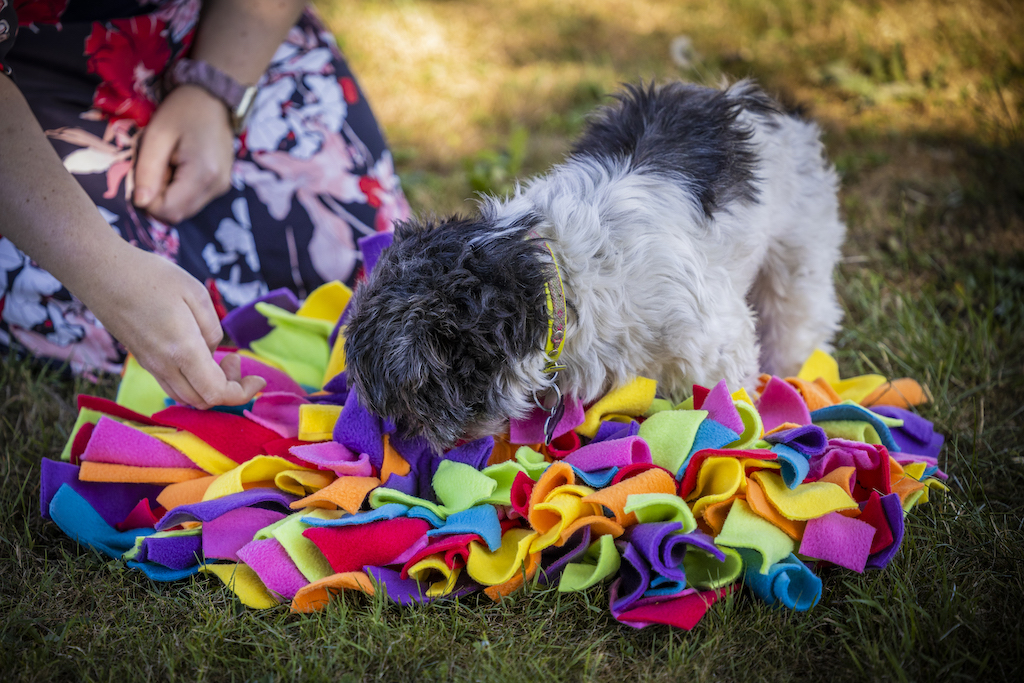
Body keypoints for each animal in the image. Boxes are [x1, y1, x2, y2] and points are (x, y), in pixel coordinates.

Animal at [344, 80, 847, 450]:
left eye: (414, 402)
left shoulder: (714, 345)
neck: (557, 281)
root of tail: (756, 101)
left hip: (798, 252)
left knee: (796, 320)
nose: (409, 439)